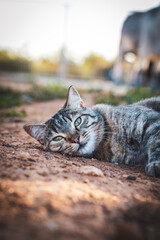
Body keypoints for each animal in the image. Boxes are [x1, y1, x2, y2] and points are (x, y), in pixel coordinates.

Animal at [23, 85, 160, 177]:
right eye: (58, 138)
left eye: (77, 121)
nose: (76, 139)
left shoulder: (151, 121)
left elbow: (156, 142)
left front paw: (156, 164)